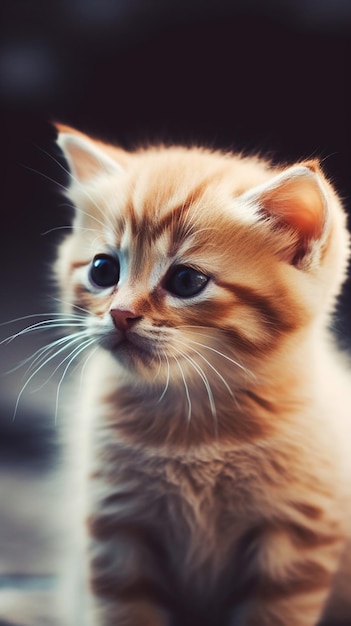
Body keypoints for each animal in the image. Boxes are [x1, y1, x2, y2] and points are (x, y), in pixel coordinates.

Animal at [53, 123, 351, 624]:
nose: (119, 314)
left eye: (186, 281)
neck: (190, 419)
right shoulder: (117, 533)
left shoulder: (296, 540)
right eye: (103, 269)